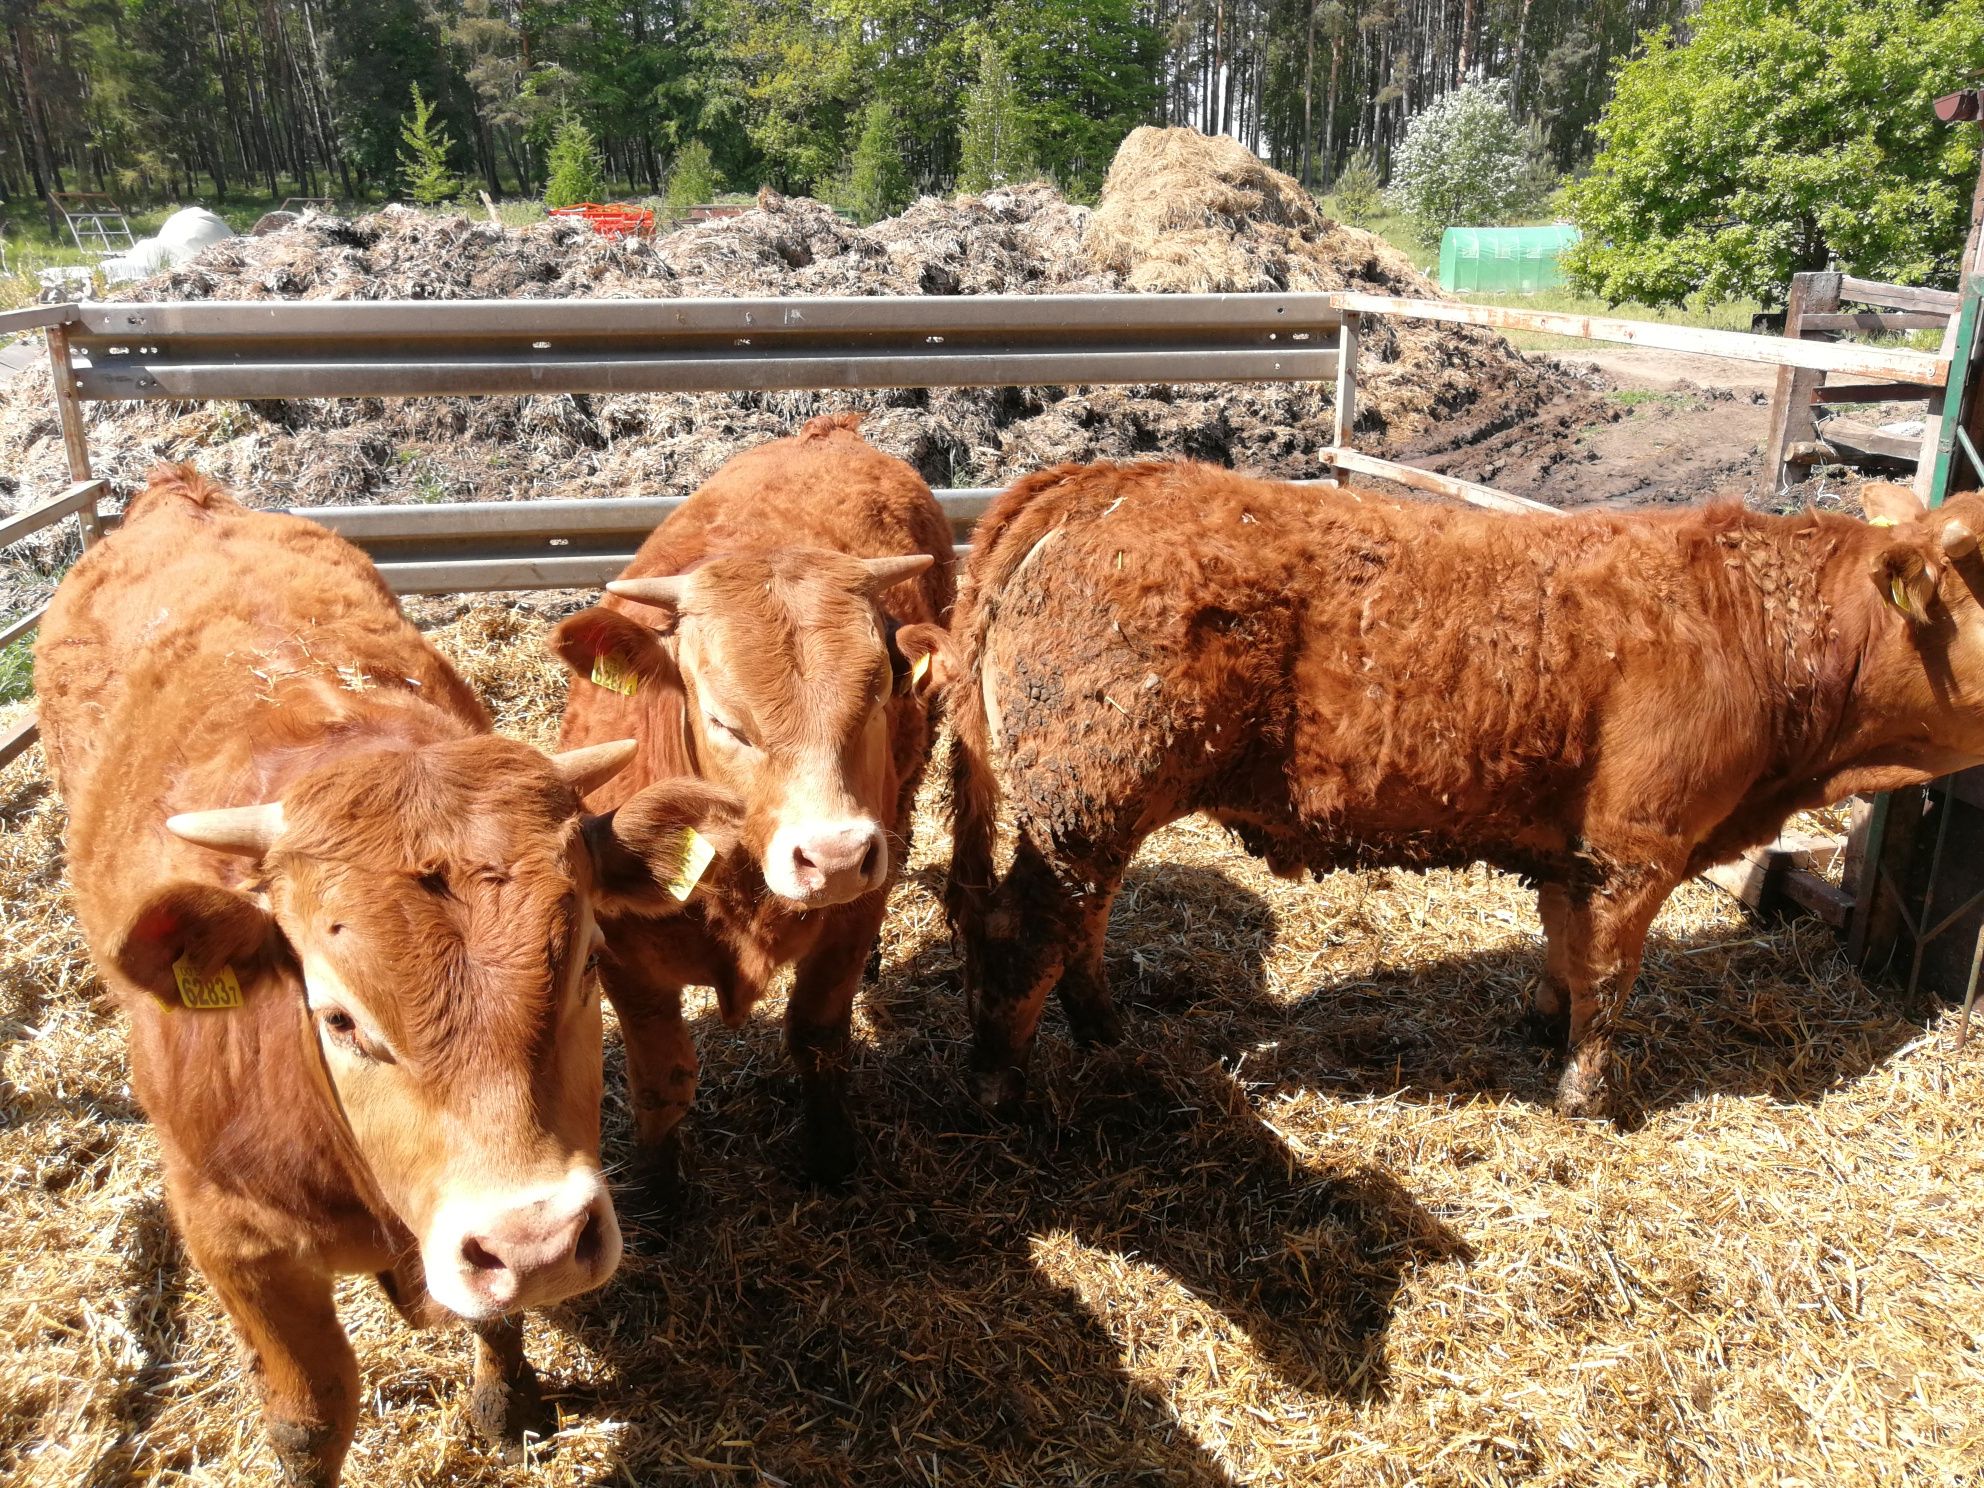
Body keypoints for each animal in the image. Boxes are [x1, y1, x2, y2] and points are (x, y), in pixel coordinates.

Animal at [34, 464, 742, 1484]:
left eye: (585, 968)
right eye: (339, 1019)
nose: (537, 1246)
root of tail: (175, 492)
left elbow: (493, 1319)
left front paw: (507, 1404)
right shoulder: (231, 1242)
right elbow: (309, 1419)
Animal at [551, 416, 952, 1190]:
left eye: (875, 698)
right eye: (725, 722)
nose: (835, 857)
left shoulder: (848, 922)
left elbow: (818, 1036)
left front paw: (831, 1157)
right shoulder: (622, 957)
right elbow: (662, 1077)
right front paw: (664, 1194)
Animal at [940, 466, 1984, 1118]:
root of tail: (1102, 480)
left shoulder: (1577, 848)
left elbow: (1567, 950)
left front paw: (1542, 1027)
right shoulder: (1639, 843)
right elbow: (1612, 977)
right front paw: (1588, 1101)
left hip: (1090, 812)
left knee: (1079, 923)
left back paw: (1106, 1033)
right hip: (1087, 801)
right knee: (1025, 931)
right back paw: (1000, 1086)